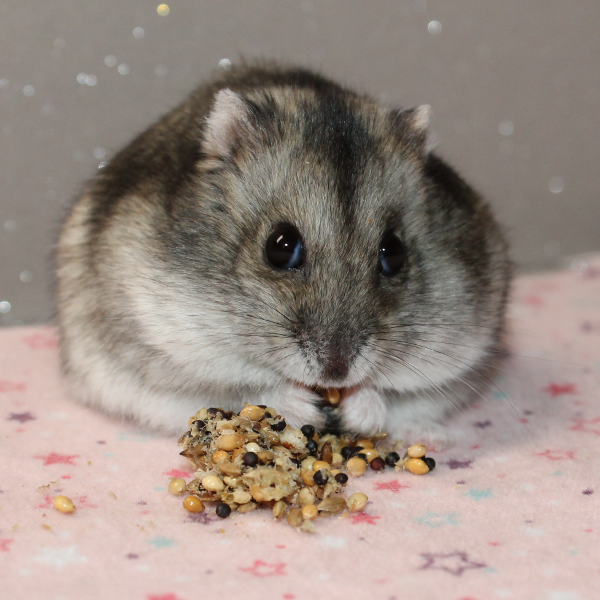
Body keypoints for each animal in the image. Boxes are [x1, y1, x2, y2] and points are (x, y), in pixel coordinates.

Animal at [55, 62, 510, 446]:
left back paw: (429, 439)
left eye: (394, 252)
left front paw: (357, 406)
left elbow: (398, 394)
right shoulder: (162, 357)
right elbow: (245, 388)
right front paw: (304, 405)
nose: (336, 373)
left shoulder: (464, 353)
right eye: (280, 246)